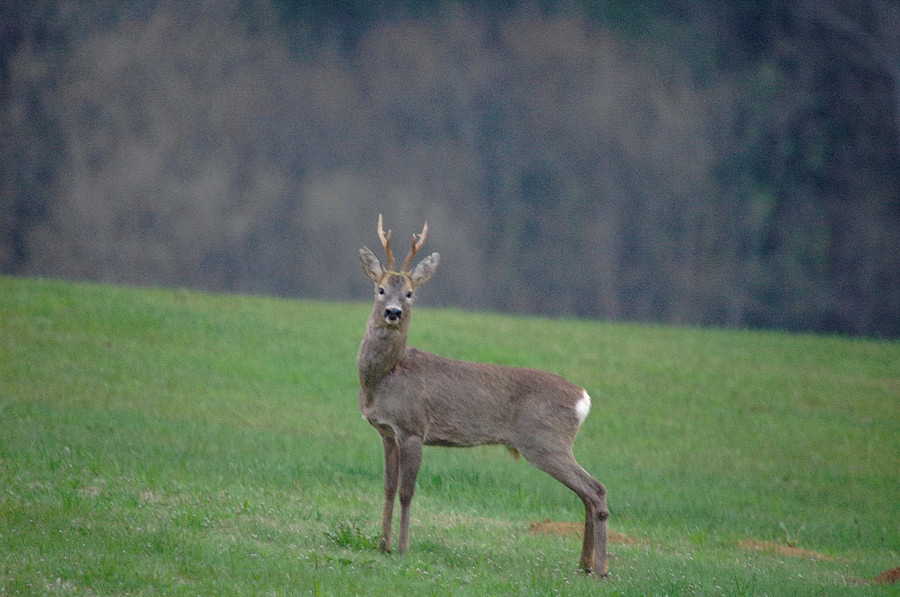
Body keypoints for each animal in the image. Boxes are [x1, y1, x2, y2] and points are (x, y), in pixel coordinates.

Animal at [356, 217, 608, 576]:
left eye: (409, 293)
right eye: (380, 289)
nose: (393, 312)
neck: (386, 377)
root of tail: (583, 398)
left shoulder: (413, 428)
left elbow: (407, 491)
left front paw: (402, 549)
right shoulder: (387, 432)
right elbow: (388, 488)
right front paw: (382, 546)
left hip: (545, 440)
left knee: (595, 490)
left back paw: (600, 569)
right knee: (587, 493)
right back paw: (584, 565)